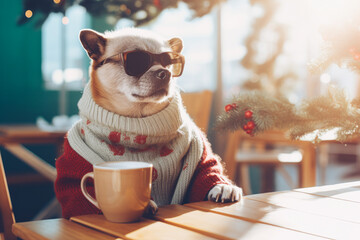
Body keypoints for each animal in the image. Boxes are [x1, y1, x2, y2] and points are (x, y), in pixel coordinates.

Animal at [54, 27, 242, 218]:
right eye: (137, 61)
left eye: (168, 62)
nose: (165, 73)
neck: (138, 124)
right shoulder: (74, 179)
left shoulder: (200, 160)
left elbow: (207, 173)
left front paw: (222, 186)